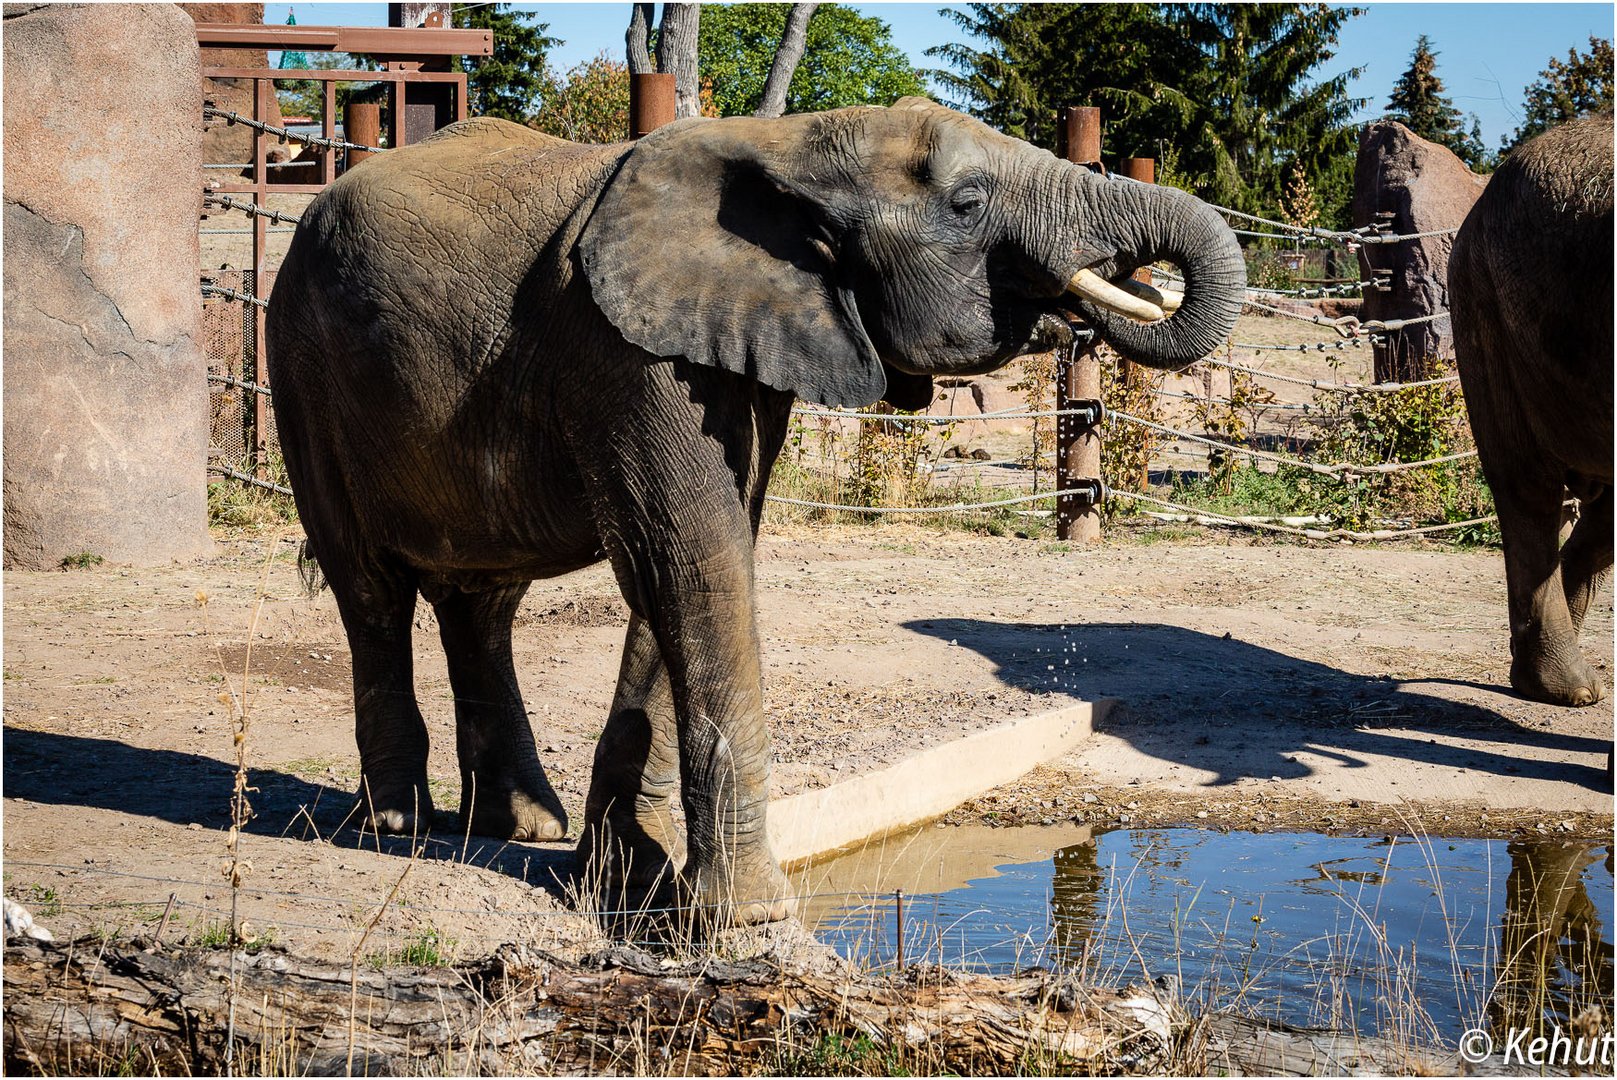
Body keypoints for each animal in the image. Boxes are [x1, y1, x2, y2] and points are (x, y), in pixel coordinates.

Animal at [265, 97, 1241, 924]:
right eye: (967, 203)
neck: (791, 144)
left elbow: (695, 553)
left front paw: (626, 882)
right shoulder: (617, 346)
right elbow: (692, 555)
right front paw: (747, 921)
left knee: (482, 600)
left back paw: (521, 828)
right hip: (300, 366)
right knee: (370, 590)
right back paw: (395, 826)